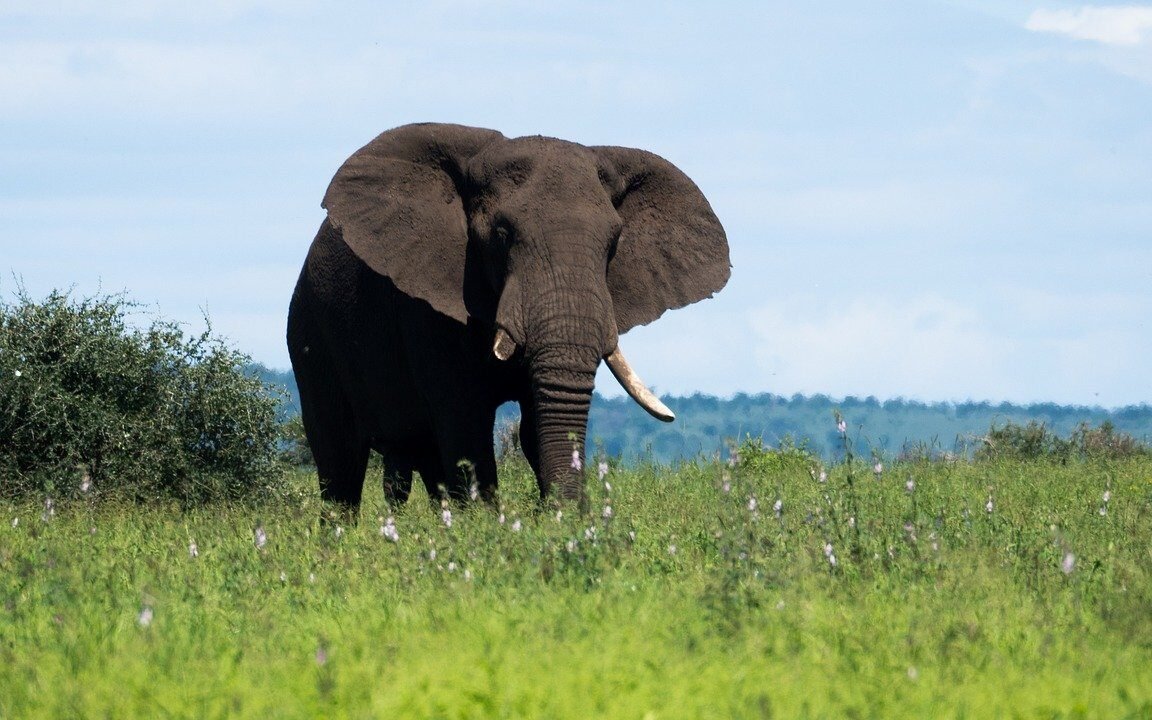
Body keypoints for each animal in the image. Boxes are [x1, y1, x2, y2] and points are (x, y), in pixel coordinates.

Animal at [290, 120, 728, 509]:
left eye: (614, 244)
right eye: (501, 235)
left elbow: (535, 423)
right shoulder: (427, 308)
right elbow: (466, 426)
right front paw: (488, 530)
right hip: (310, 331)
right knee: (340, 463)